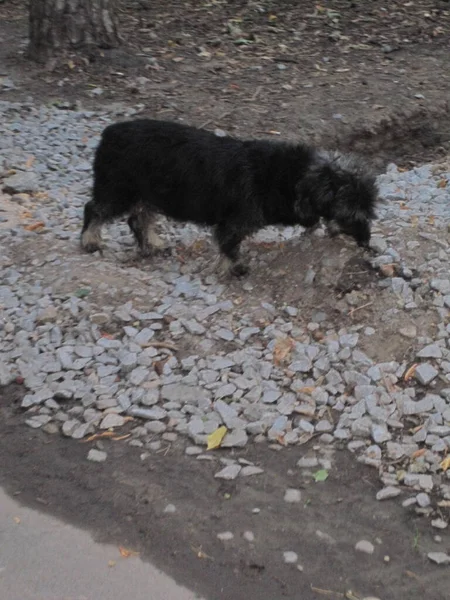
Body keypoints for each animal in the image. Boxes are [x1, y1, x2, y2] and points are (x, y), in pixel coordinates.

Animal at [81, 119, 376, 276]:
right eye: (351, 216)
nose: (366, 243)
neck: (287, 177)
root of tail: (109, 132)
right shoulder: (234, 222)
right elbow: (229, 244)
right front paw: (235, 268)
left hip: (148, 195)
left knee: (138, 220)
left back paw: (153, 244)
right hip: (117, 191)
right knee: (93, 209)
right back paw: (90, 241)